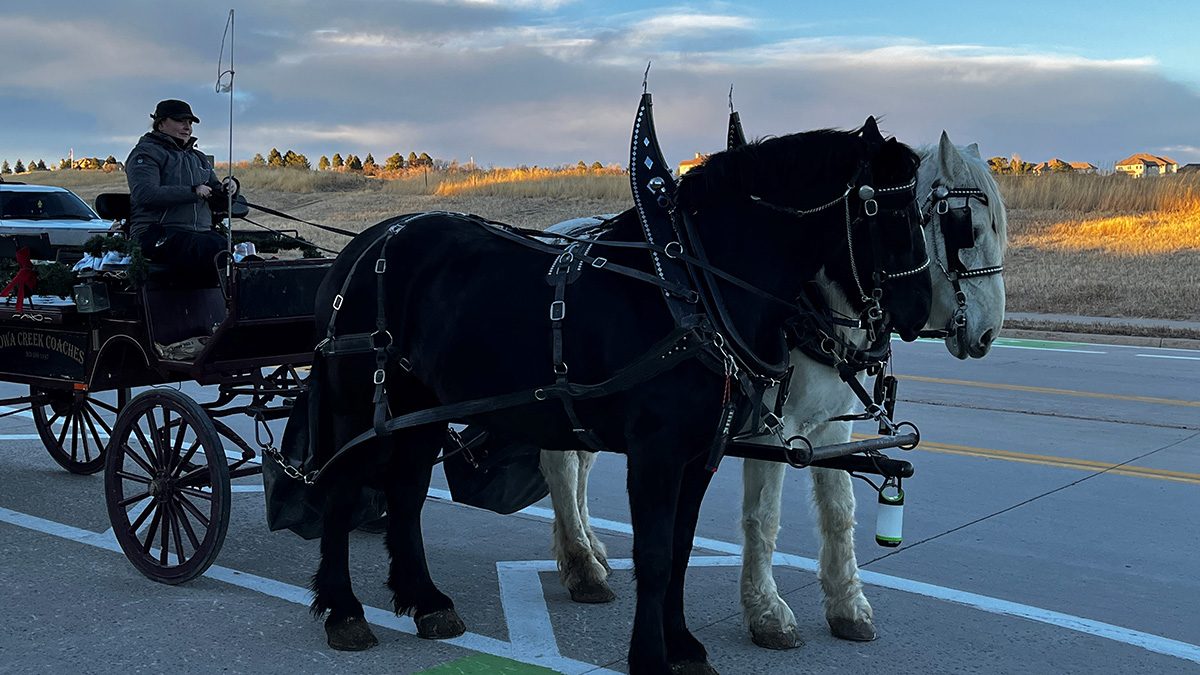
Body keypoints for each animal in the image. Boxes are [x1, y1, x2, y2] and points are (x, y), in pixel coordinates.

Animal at [304, 117, 931, 672]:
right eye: (886, 209)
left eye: (924, 208)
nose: (919, 312)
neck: (693, 290)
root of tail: (361, 245)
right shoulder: (656, 452)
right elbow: (653, 556)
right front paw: (651, 656)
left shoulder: (700, 453)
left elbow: (680, 549)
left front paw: (682, 646)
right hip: (357, 404)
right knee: (339, 490)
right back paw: (344, 610)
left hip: (419, 408)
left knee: (406, 493)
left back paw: (426, 599)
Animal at [540, 132, 1008, 648]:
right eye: (965, 228)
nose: (988, 333)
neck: (810, 310)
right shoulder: (773, 430)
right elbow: (763, 517)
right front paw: (767, 612)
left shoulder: (831, 429)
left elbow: (839, 510)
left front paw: (848, 606)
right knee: (561, 467)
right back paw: (582, 566)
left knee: (580, 464)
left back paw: (588, 547)